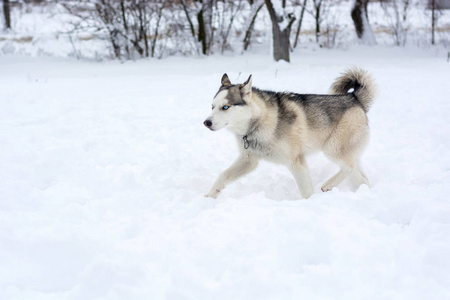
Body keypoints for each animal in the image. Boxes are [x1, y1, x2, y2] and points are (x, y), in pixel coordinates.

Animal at [204, 68, 376, 199]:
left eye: (225, 107)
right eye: (212, 106)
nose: (206, 122)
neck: (260, 122)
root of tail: (354, 97)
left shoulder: (296, 161)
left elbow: (306, 191)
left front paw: (309, 203)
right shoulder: (248, 160)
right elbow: (223, 176)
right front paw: (209, 197)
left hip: (332, 149)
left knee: (349, 167)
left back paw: (328, 186)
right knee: (360, 176)